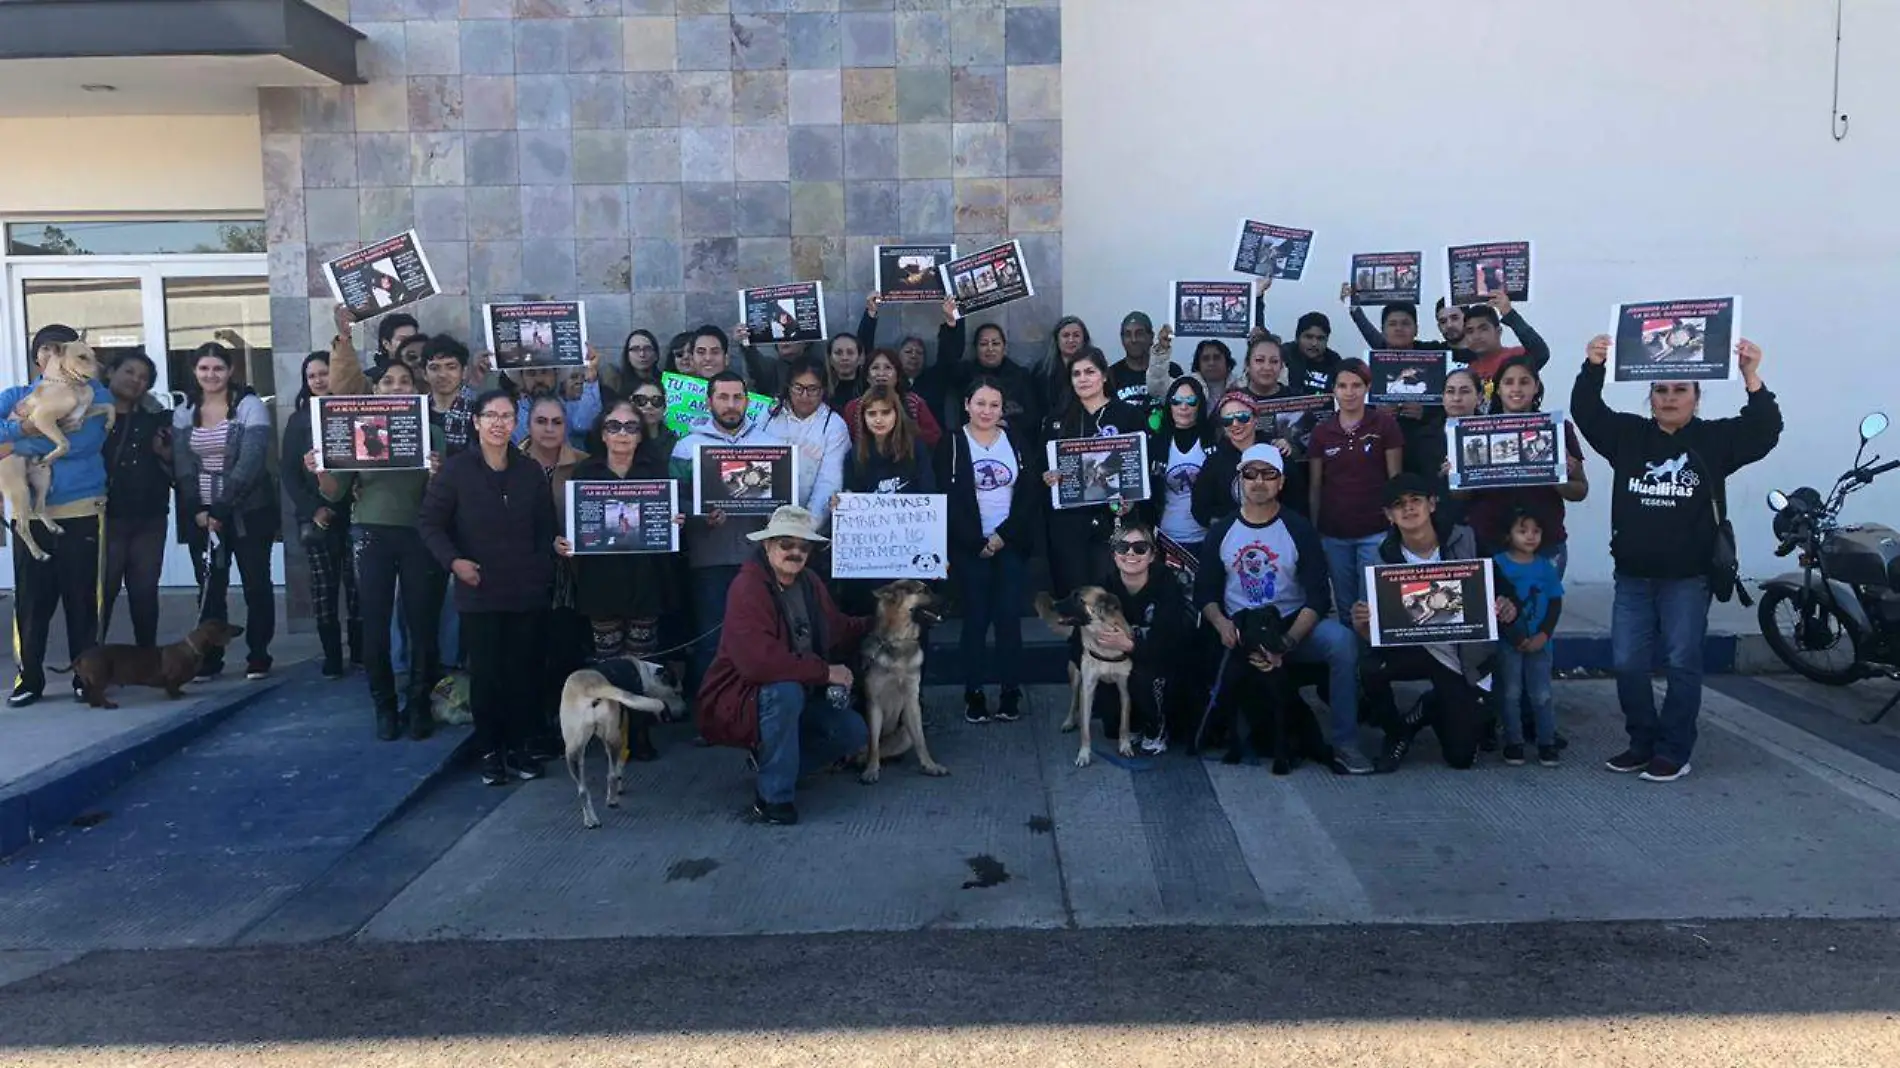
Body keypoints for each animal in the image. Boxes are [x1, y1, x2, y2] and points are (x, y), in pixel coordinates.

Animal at [1, 342, 109, 562]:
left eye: (94, 354)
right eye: (82, 357)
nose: (105, 370)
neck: (70, 384)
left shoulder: (81, 415)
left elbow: (108, 406)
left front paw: (110, 422)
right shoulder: (42, 419)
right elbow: (65, 444)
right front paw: (51, 454)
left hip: (43, 478)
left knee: (39, 507)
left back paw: (54, 527)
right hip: (20, 490)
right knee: (22, 526)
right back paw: (39, 553)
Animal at [59, 615, 247, 706]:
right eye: (226, 627)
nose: (242, 628)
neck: (191, 648)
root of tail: (82, 655)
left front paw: (180, 693)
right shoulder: (171, 679)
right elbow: (172, 687)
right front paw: (176, 696)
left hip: (89, 680)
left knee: (91, 694)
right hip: (101, 677)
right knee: (98, 693)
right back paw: (108, 705)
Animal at [554, 661, 684, 828]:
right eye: (677, 692)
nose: (686, 713)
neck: (644, 672)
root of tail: (592, 686)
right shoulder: (631, 727)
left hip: (578, 748)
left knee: (587, 787)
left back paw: (593, 817)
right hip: (611, 739)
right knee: (610, 775)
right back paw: (610, 802)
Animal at [862, 577, 950, 779]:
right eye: (923, 590)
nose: (950, 603)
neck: (899, 640)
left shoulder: (912, 701)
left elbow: (921, 740)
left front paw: (930, 765)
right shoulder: (873, 704)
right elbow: (873, 744)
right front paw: (871, 769)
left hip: (903, 733)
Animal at [1041, 581, 1124, 763]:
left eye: (1078, 598)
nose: (1054, 604)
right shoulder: (1087, 681)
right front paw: (1084, 753)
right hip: (1075, 674)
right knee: (1074, 700)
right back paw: (1070, 721)